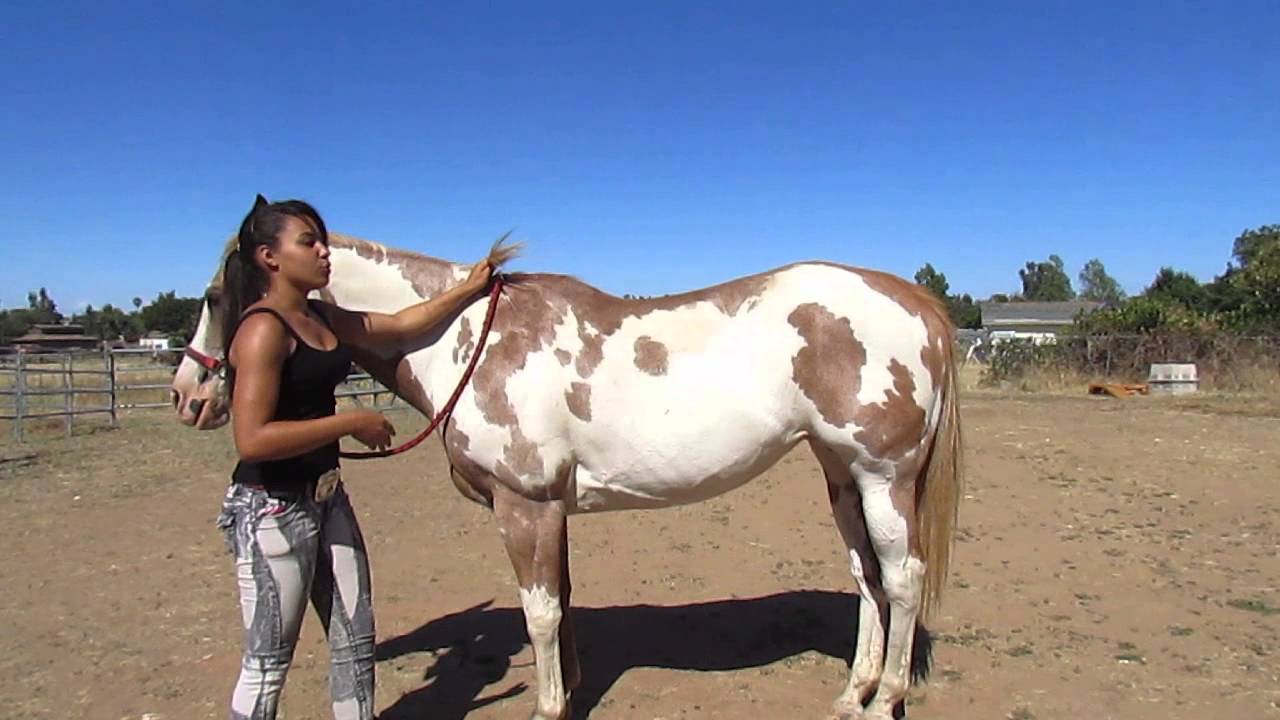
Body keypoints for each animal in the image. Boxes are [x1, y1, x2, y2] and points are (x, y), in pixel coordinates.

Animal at [175, 233, 962, 712]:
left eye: (214, 297)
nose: (190, 395)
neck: (468, 341)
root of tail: (913, 299)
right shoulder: (552, 510)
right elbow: (563, 601)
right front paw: (573, 690)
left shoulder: (522, 507)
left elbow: (541, 612)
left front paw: (550, 704)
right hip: (841, 475)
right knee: (866, 578)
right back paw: (854, 693)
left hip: (883, 477)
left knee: (903, 580)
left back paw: (886, 700)